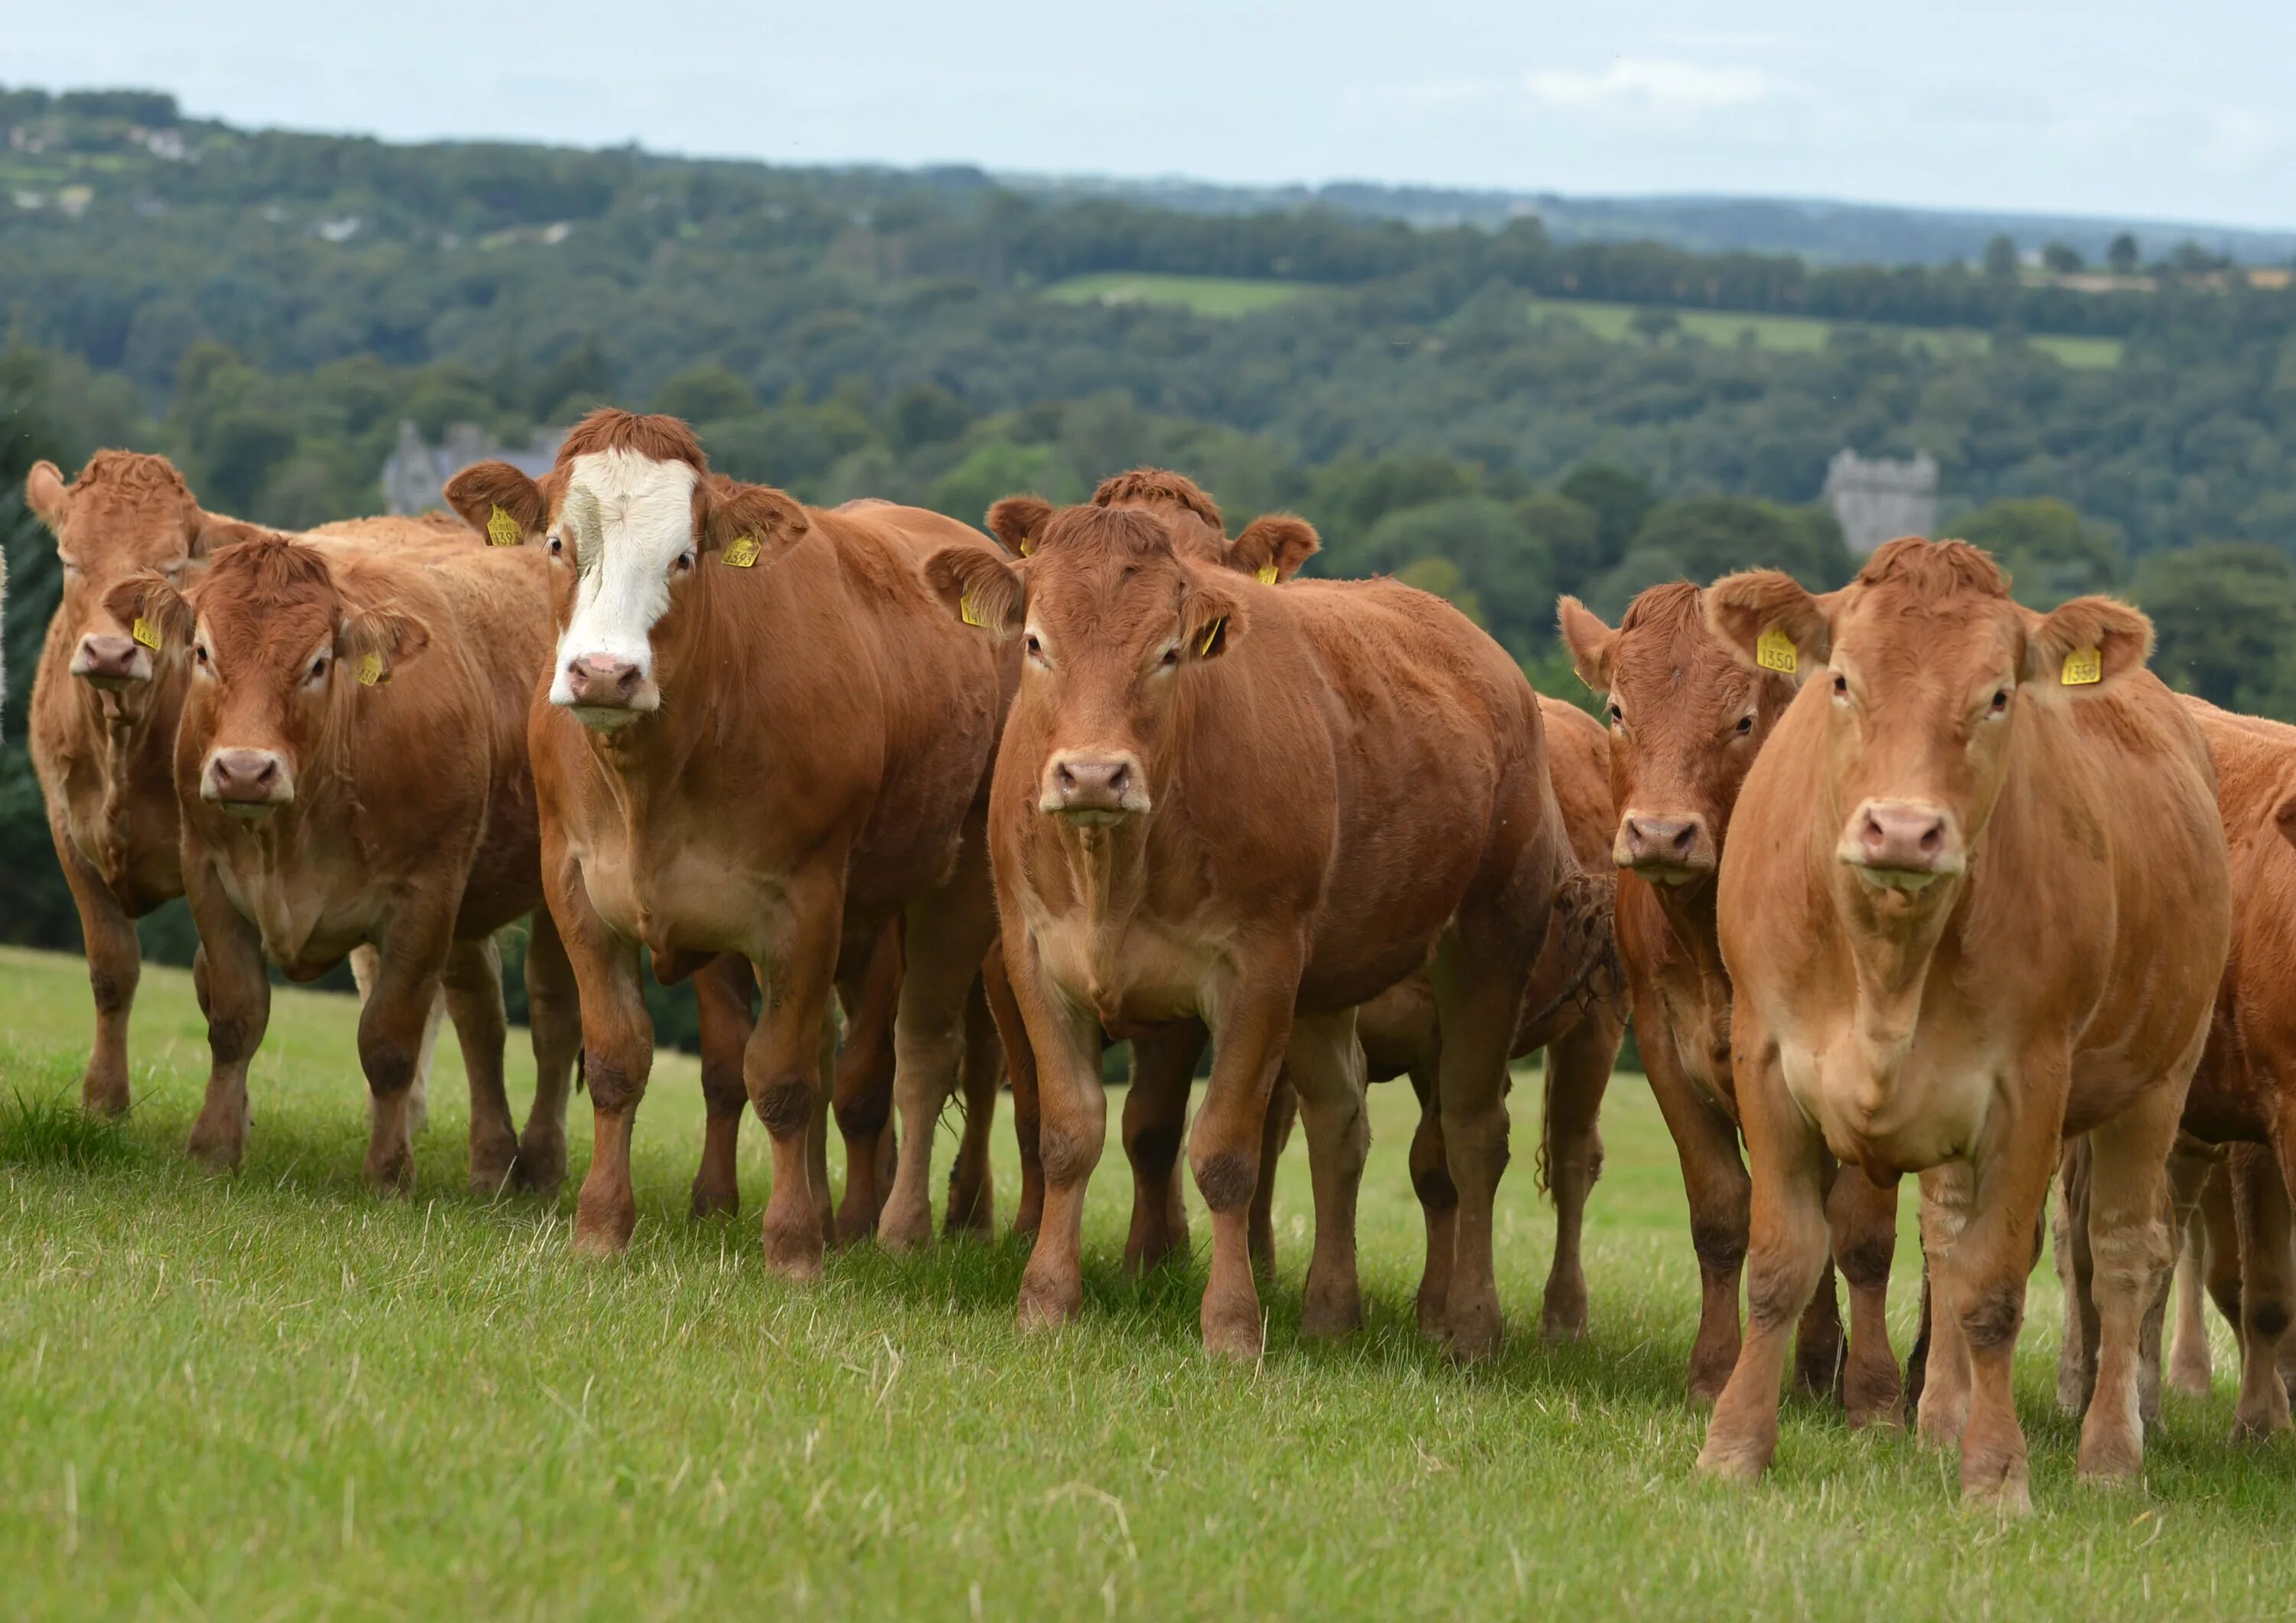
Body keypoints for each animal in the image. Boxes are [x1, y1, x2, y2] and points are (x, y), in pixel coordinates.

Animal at [113, 532, 588, 1194]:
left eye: (318, 664)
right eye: (203, 652)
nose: (244, 770)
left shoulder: (426, 895)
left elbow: (389, 1041)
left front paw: (388, 1174)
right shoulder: (207, 874)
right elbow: (235, 1019)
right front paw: (213, 1148)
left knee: (551, 1019)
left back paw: (541, 1166)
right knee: (481, 1017)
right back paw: (493, 1163)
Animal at [443, 413, 1010, 1276]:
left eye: (684, 557)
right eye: (557, 544)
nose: (603, 673)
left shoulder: (805, 907)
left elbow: (780, 1079)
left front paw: (794, 1248)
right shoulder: (587, 892)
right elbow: (629, 1063)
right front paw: (605, 1226)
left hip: (954, 889)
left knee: (917, 1057)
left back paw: (891, 1226)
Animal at [918, 498, 1580, 1359]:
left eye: (1168, 653)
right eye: (1035, 643)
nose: (1093, 774)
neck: (1112, 870)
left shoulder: (1257, 973)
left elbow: (1225, 1152)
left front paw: (1231, 1325)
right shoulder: (1034, 960)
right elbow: (1067, 1135)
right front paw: (1046, 1302)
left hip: (1491, 942)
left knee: (1473, 1133)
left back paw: (1470, 1325)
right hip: (1327, 980)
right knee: (1341, 1123)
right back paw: (1331, 1309)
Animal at [1561, 587, 1901, 1423]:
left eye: (1743, 720)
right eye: (1617, 710)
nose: (1661, 832)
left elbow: (1864, 1234)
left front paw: (1877, 1393)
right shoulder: (1665, 1048)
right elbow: (1722, 1214)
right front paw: (1716, 1371)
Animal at [1708, 537, 2223, 1515]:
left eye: (1997, 695)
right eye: (1842, 680)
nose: (1905, 830)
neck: (1886, 959)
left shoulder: (2031, 1088)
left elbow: (1994, 1291)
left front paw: (1997, 1476)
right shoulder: (1764, 1056)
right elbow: (1782, 1263)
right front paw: (1735, 1448)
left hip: (2160, 1081)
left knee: (2124, 1253)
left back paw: (2109, 1455)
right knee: (1946, 1234)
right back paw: (1939, 1417)